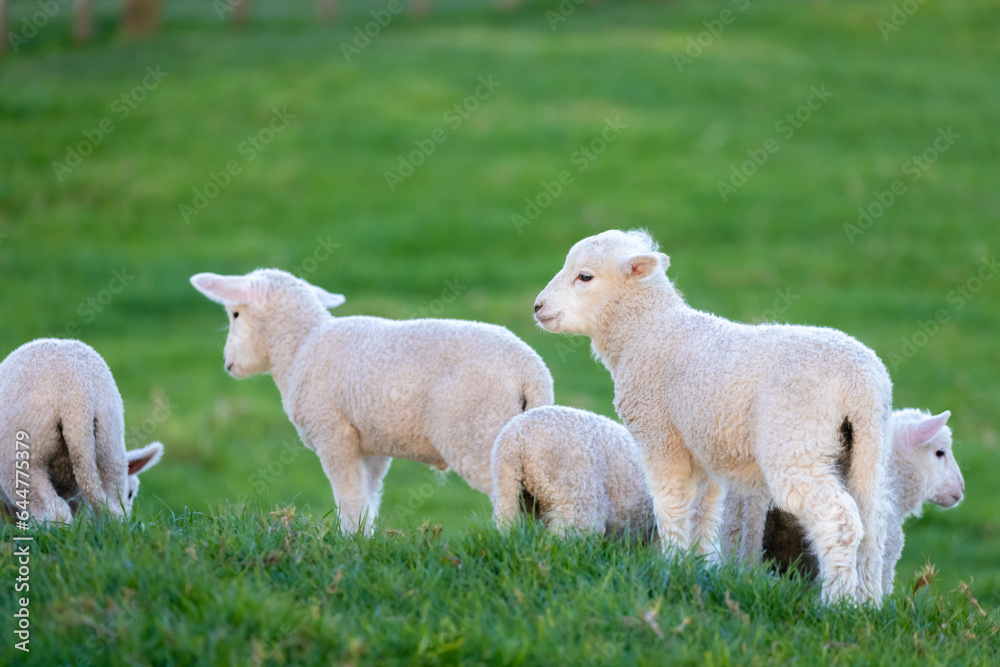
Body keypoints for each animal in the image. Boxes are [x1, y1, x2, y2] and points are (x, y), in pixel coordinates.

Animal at [0, 338, 165, 523]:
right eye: (131, 494)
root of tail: (77, 387)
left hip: (24, 451)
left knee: (53, 509)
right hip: (110, 433)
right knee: (113, 489)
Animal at [190, 268, 554, 535]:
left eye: (236, 314)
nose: (227, 363)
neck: (300, 347)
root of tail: (531, 371)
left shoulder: (333, 432)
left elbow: (349, 499)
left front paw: (348, 541)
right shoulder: (372, 445)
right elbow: (368, 498)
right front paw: (364, 539)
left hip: (478, 429)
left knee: (507, 494)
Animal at [533, 229, 894, 604]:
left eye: (585, 276)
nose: (537, 307)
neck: (646, 333)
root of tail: (860, 383)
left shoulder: (660, 434)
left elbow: (671, 503)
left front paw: (670, 565)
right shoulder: (700, 448)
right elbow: (702, 511)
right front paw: (697, 567)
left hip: (795, 440)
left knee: (839, 522)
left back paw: (837, 603)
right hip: (867, 447)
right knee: (872, 525)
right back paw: (867, 603)